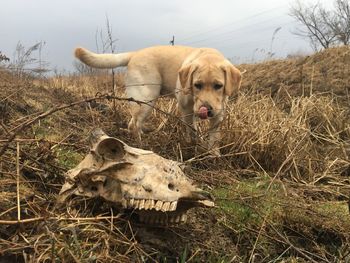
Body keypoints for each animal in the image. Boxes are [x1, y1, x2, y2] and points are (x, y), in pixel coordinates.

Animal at [75, 45, 242, 155]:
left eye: (218, 86)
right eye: (197, 85)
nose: (206, 109)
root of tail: (135, 54)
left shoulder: (219, 112)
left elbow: (215, 137)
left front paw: (213, 154)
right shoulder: (186, 109)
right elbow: (192, 131)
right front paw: (193, 147)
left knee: (134, 123)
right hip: (146, 99)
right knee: (133, 124)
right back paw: (141, 146)